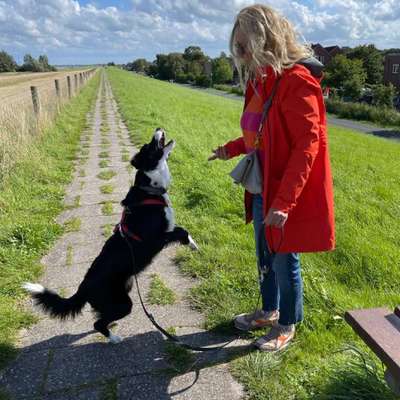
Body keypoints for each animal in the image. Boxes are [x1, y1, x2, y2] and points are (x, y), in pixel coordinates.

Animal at [23, 128, 197, 344]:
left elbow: (182, 229)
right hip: (123, 303)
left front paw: (192, 244)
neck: (149, 189)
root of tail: (83, 288)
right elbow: (181, 231)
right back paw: (114, 338)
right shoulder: (154, 240)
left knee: (99, 318)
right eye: (149, 146)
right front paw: (193, 245)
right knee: (98, 323)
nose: (158, 129)